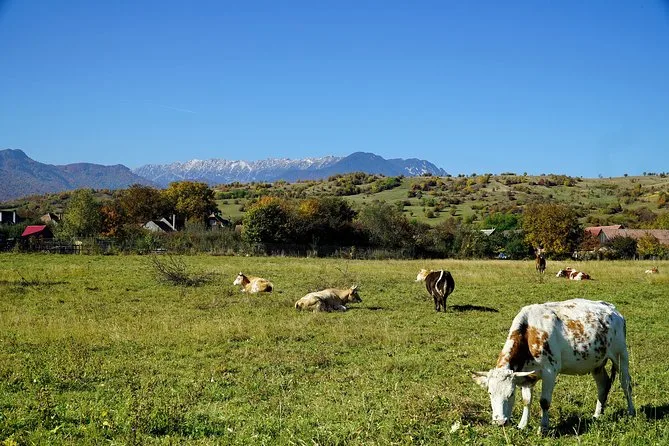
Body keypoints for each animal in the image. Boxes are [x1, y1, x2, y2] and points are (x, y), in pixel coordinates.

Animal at [472, 298, 635, 433]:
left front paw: (543, 427)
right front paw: (522, 424)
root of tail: (612, 309)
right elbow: (527, 401)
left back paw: (631, 411)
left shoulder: (550, 372)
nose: (500, 421)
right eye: (490, 393)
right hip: (597, 363)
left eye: (511, 393)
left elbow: (544, 402)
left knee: (626, 384)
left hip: (621, 355)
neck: (529, 332)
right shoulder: (527, 375)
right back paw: (597, 414)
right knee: (603, 385)